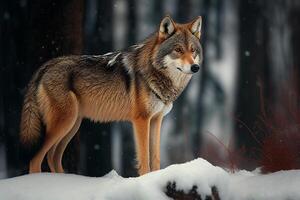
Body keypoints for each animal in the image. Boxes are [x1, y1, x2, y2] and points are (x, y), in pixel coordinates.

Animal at [19, 15, 204, 175]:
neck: (154, 72)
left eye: (193, 50)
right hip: (64, 124)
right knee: (36, 159)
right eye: (178, 50)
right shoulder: (141, 120)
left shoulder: (157, 120)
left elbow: (156, 159)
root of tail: (46, 66)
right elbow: (144, 159)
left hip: (72, 125)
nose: (195, 67)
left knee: (52, 157)